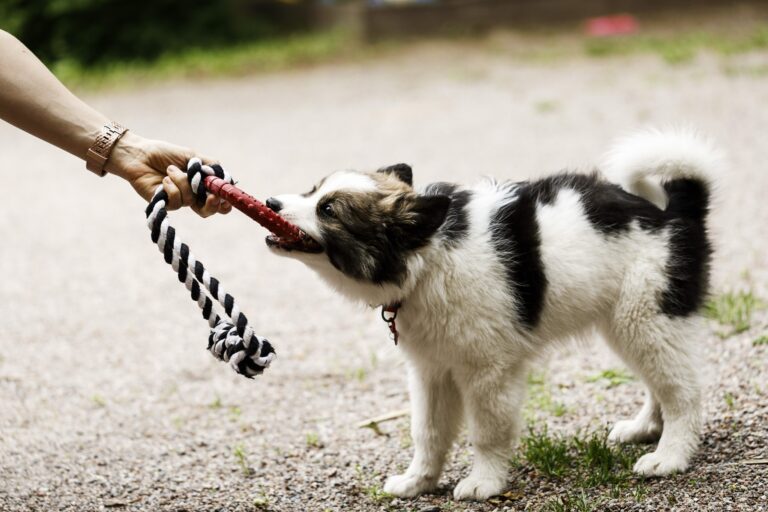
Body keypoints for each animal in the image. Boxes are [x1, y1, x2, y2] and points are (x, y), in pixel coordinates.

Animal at [264, 130, 720, 502]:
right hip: (629, 325)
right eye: (313, 190)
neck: (427, 259)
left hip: (647, 318)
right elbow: (428, 432)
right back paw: (645, 429)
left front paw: (484, 483)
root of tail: (674, 213)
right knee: (659, 383)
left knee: (682, 392)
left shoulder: (488, 371)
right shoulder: (432, 370)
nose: (269, 202)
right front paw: (418, 482)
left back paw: (670, 456)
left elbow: (486, 432)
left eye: (328, 210)